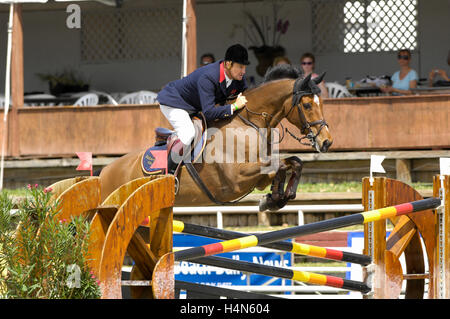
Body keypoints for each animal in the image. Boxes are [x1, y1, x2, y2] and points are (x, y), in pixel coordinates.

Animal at [100, 64, 332, 212]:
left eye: (321, 102)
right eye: (307, 105)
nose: (327, 141)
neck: (247, 123)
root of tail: (103, 173)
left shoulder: (258, 176)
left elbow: (293, 162)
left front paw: (276, 198)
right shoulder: (237, 179)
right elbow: (280, 165)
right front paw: (274, 198)